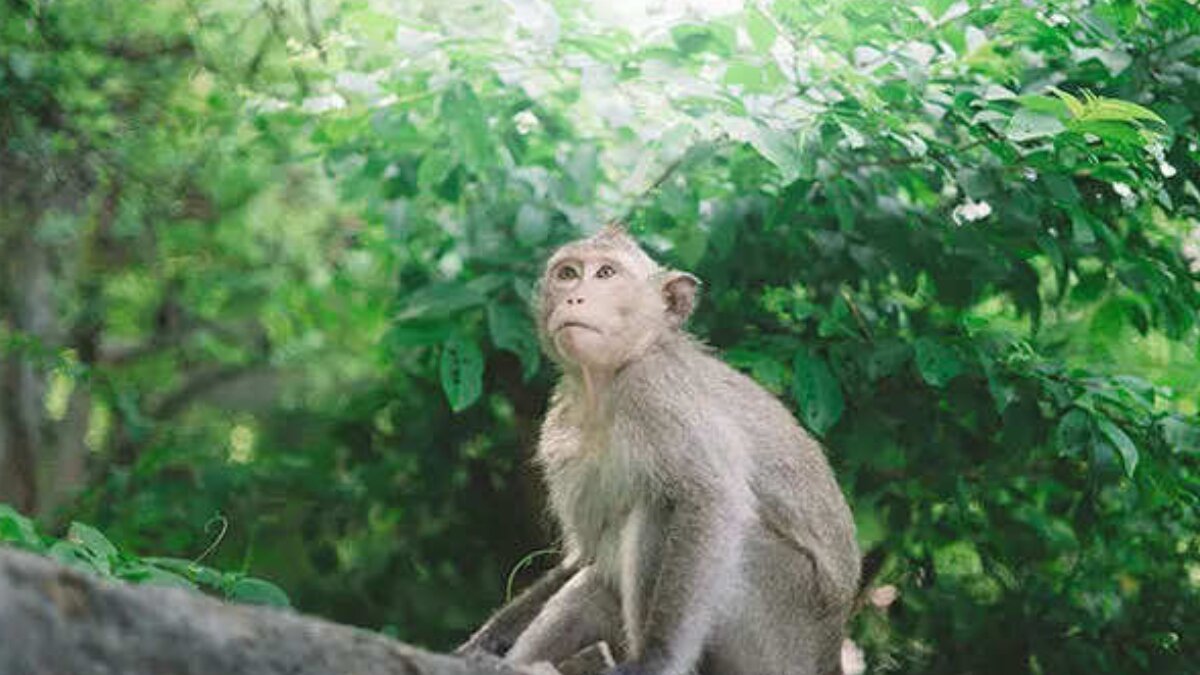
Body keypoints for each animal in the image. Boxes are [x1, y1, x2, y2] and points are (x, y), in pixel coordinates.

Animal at [458, 224, 860, 675]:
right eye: (568, 273)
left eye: (606, 273)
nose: (574, 296)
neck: (607, 385)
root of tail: (829, 652)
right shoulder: (560, 431)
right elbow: (584, 556)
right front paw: (479, 645)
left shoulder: (654, 390)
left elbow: (710, 498)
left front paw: (657, 657)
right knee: (596, 581)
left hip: (780, 626)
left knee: (661, 509)